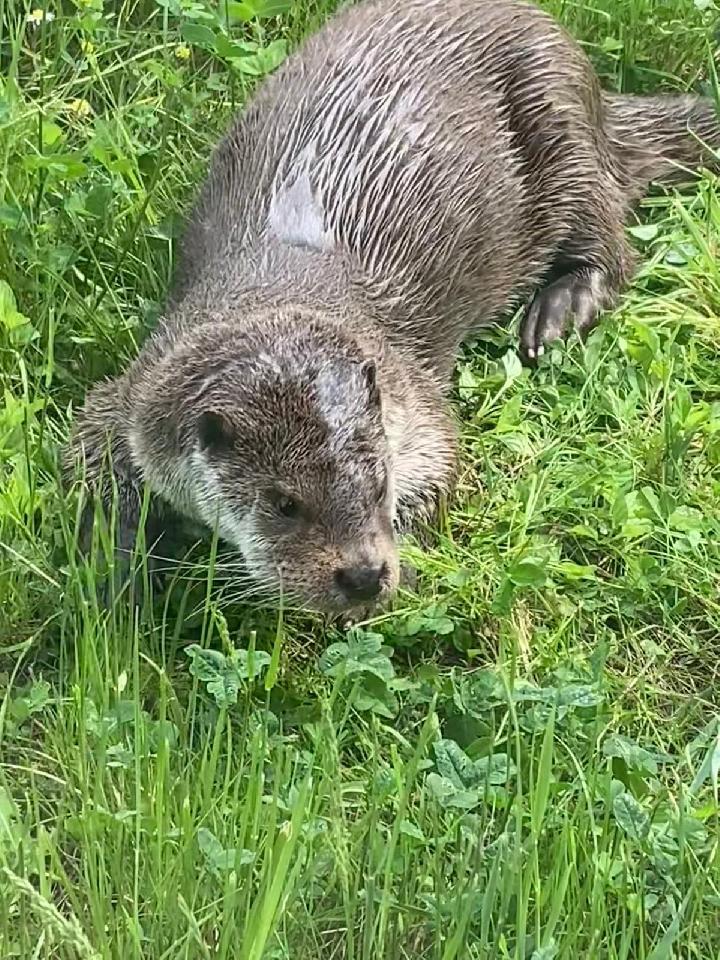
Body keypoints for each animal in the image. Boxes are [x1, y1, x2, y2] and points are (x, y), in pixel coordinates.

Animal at [66, 0, 716, 616]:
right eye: (283, 503)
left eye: (380, 486)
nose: (362, 575)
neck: (279, 284)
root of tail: (592, 86)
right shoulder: (136, 398)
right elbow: (92, 474)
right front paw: (115, 584)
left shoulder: (412, 403)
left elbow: (441, 464)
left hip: (559, 122)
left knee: (608, 233)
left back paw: (558, 313)